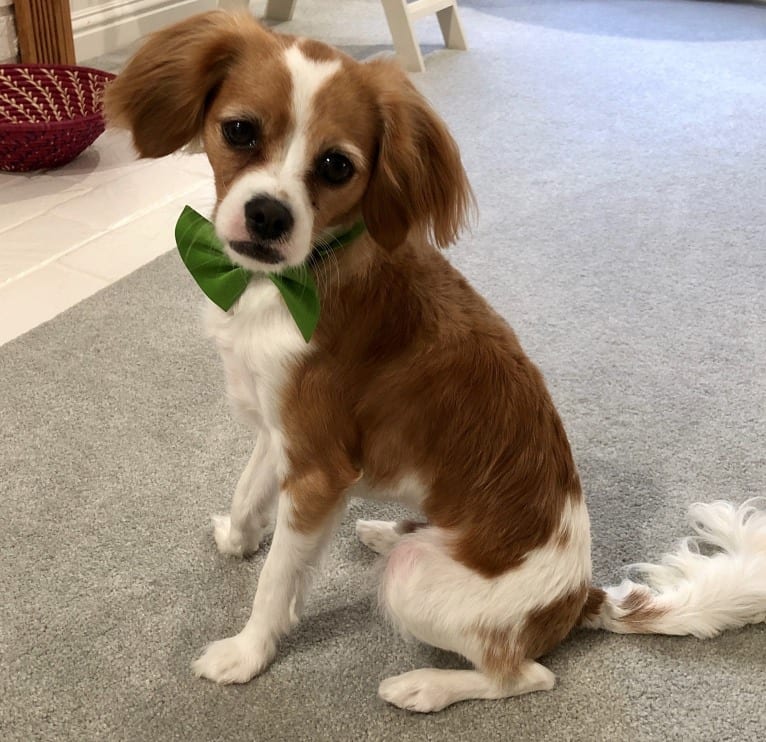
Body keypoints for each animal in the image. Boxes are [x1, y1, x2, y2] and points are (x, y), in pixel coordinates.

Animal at [106, 10, 766, 716]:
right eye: (239, 130)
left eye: (336, 166)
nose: (268, 215)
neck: (293, 278)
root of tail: (576, 599)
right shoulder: (279, 429)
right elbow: (248, 487)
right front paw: (237, 535)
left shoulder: (317, 470)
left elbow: (277, 580)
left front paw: (247, 653)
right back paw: (384, 531)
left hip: (418, 582)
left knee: (525, 675)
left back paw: (425, 684)